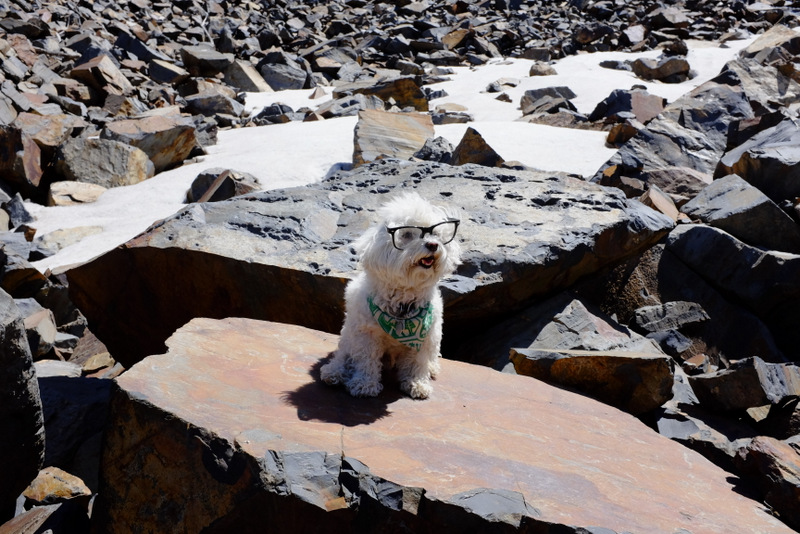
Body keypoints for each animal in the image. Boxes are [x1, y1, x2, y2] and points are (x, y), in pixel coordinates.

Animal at [320, 192, 462, 399]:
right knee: (344, 355)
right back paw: (335, 372)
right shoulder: (367, 334)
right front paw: (365, 384)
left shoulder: (426, 336)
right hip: (348, 335)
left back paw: (432, 367)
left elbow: (417, 362)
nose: (433, 244)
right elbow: (366, 360)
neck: (402, 303)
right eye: (407, 234)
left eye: (435, 234)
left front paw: (416, 383)